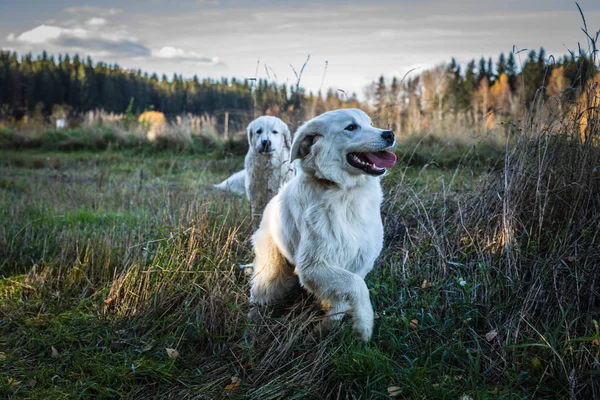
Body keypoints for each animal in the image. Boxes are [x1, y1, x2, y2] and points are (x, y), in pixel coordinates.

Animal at [246, 108, 396, 340]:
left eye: (370, 124)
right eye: (351, 127)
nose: (389, 134)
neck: (345, 192)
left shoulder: (358, 262)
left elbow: (341, 300)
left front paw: (325, 329)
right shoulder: (313, 266)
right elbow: (358, 286)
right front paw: (364, 326)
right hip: (270, 276)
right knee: (258, 294)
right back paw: (253, 321)